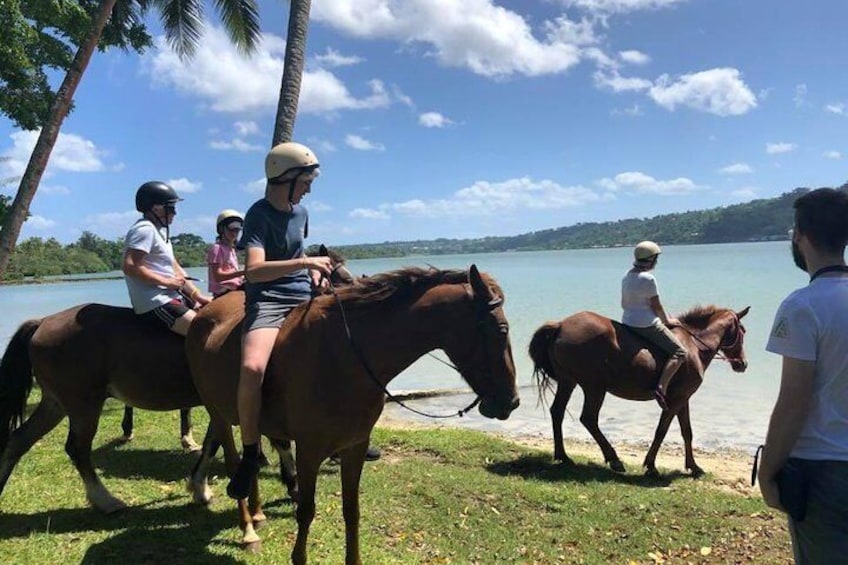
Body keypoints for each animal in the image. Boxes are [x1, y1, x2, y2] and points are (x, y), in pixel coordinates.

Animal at [0, 243, 352, 512]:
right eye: (341, 276)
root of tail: (42, 322)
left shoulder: (221, 404)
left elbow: (212, 442)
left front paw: (200, 487)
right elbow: (261, 441)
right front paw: (289, 485)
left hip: (55, 403)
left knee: (18, 441)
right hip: (84, 405)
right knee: (77, 449)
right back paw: (106, 500)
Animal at [182, 264, 520, 560]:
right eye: (501, 330)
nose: (512, 402)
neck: (345, 356)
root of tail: (204, 315)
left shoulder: (354, 447)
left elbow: (351, 511)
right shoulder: (309, 451)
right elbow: (306, 511)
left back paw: (255, 512)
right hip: (220, 415)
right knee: (233, 459)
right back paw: (247, 529)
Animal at [528, 304, 748, 476]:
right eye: (742, 332)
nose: (743, 364)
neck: (693, 346)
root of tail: (561, 325)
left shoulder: (683, 399)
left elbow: (687, 432)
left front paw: (693, 466)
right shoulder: (676, 400)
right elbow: (661, 431)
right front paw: (651, 465)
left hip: (568, 382)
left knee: (557, 412)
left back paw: (563, 456)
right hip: (594, 387)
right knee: (589, 419)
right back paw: (614, 459)